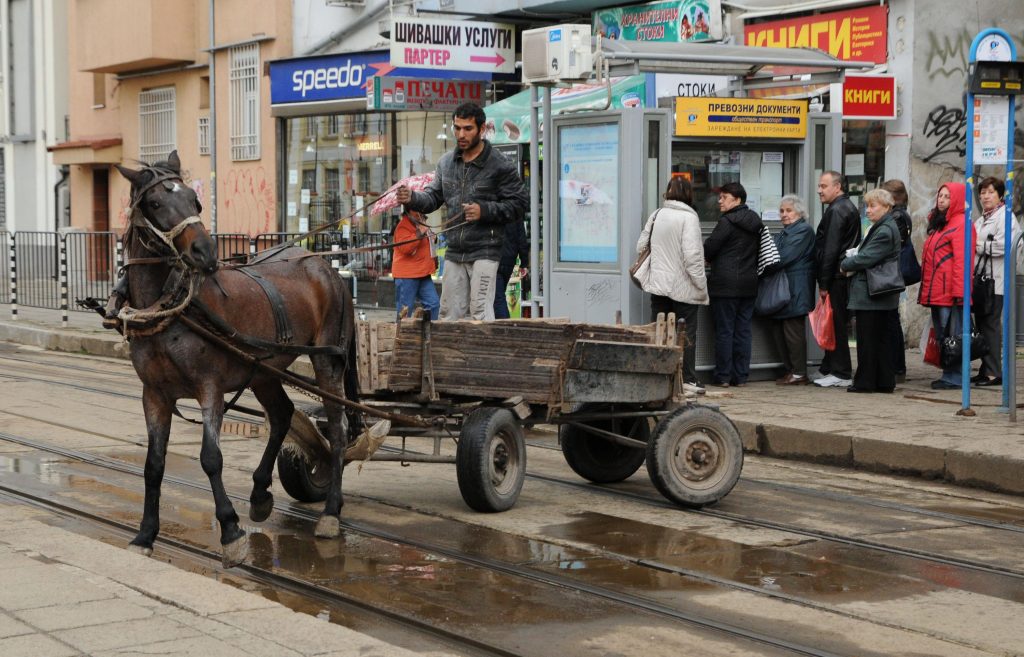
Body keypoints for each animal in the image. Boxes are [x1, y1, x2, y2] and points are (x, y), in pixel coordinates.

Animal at [113, 151, 356, 564]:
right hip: (264, 371)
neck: (170, 309)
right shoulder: (155, 395)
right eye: (156, 203)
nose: (205, 253)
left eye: (195, 202)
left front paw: (230, 529)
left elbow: (211, 457)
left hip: (327, 360)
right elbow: (153, 465)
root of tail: (323, 263)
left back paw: (330, 512)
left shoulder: (208, 388)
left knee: (336, 430)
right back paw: (259, 494)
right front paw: (145, 534)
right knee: (282, 415)